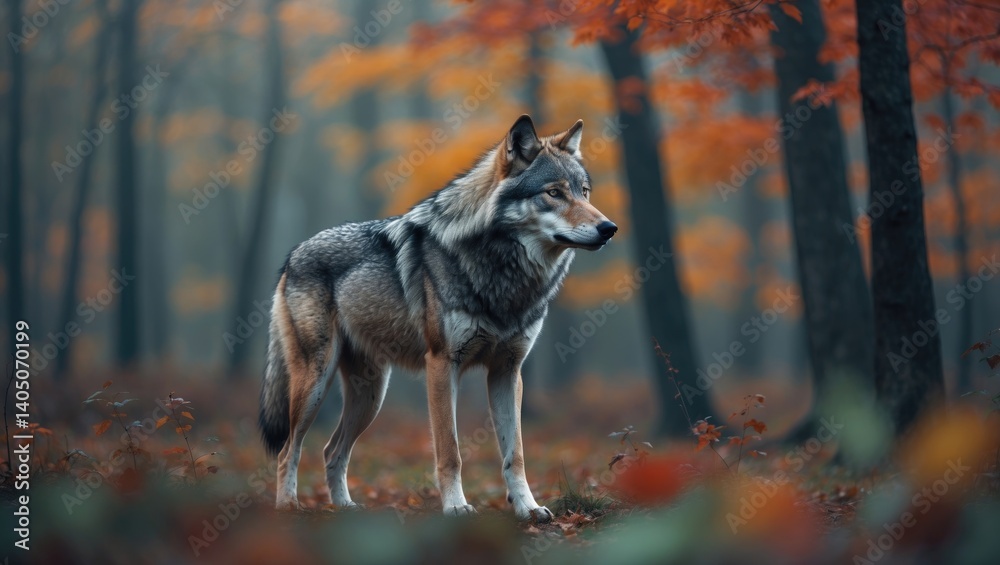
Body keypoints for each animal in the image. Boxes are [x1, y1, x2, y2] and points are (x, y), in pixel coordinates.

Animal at [258, 115, 617, 521]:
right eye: (554, 193)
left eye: (584, 192)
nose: (609, 228)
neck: (503, 272)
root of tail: (293, 253)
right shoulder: (443, 365)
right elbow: (451, 451)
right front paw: (457, 506)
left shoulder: (508, 371)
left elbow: (516, 454)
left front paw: (528, 508)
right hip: (316, 383)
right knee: (289, 449)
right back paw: (289, 506)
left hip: (371, 394)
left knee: (331, 450)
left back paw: (346, 507)